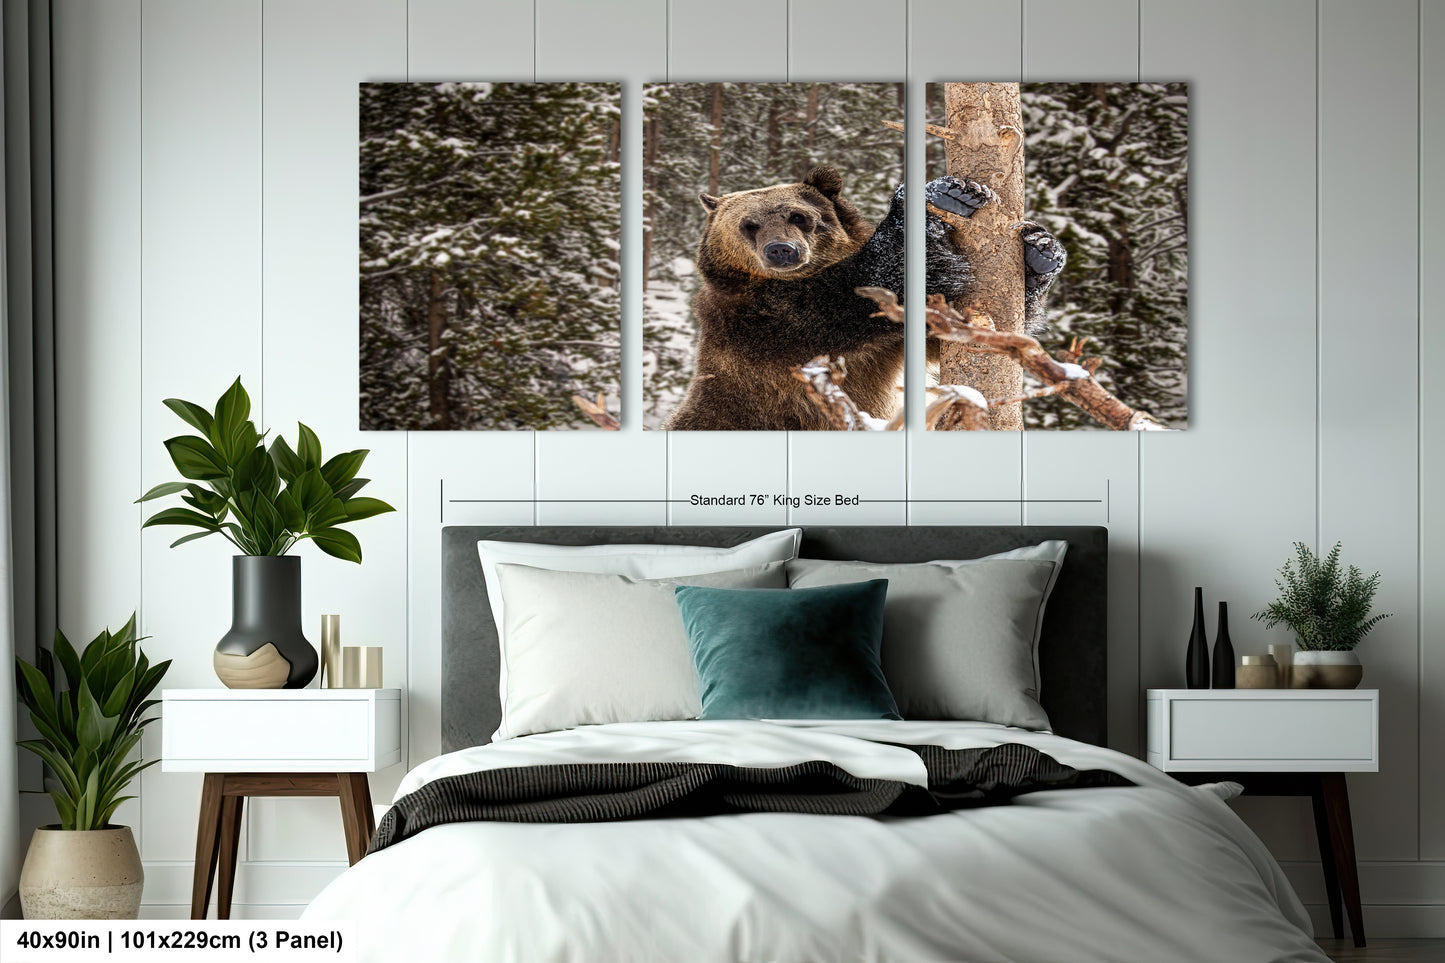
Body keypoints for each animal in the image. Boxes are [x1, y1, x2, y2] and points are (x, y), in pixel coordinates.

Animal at [661, 167, 1063, 428]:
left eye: (799, 216)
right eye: (749, 225)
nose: (781, 250)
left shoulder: (888, 347)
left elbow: (947, 330)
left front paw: (1039, 251)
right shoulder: (769, 323)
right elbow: (863, 289)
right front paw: (940, 195)